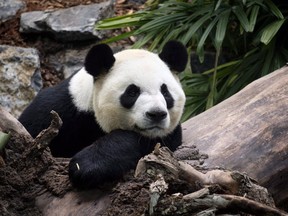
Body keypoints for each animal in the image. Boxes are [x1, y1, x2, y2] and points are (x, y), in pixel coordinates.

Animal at [18, 41, 189, 189]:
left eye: (165, 92)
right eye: (132, 92)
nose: (156, 114)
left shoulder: (166, 134)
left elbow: (143, 141)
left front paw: (86, 167)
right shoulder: (60, 108)